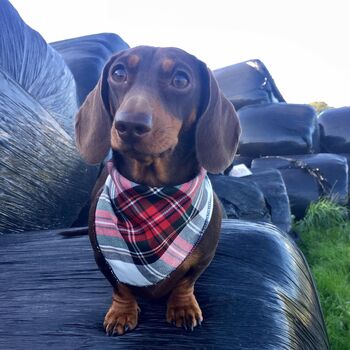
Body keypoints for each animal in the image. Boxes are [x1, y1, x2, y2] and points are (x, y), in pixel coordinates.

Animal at [74, 45, 241, 334]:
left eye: (181, 80)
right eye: (118, 73)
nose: (129, 125)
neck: (153, 193)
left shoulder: (204, 258)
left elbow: (186, 281)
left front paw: (183, 307)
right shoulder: (102, 260)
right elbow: (119, 286)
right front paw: (122, 312)